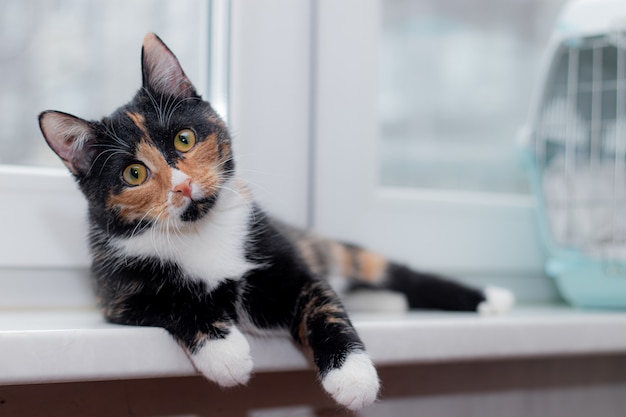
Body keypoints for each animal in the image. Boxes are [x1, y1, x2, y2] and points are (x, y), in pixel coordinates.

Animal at [36, 33, 510, 410]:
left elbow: (325, 308)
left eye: (184, 139)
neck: (199, 231)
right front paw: (226, 354)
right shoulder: (116, 294)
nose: (183, 187)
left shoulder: (288, 262)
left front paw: (353, 375)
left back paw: (488, 297)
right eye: (134, 174)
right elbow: (173, 304)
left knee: (392, 272)